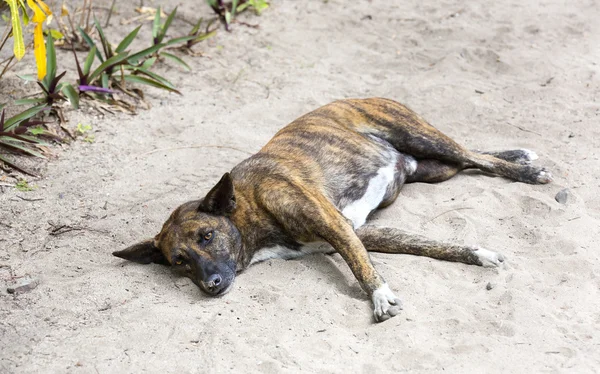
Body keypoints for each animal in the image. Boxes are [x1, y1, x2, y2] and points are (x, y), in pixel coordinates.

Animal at [113, 97, 552, 322]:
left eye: (207, 236)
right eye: (178, 261)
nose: (211, 285)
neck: (251, 211)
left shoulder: (334, 225)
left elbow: (360, 266)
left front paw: (379, 297)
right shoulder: (358, 231)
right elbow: (423, 244)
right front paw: (476, 254)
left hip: (418, 135)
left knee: (474, 156)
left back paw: (526, 170)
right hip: (434, 170)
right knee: (471, 159)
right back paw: (518, 155)